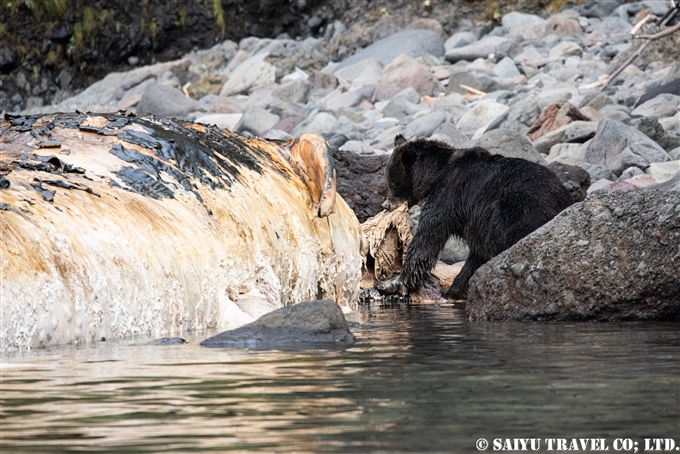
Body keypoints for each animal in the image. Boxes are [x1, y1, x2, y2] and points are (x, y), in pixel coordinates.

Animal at [378, 137, 572, 300]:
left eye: (392, 183)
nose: (385, 205)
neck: (435, 175)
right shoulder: (478, 224)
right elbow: (476, 256)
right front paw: (454, 290)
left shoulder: (448, 197)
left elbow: (426, 239)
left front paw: (393, 283)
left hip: (519, 213)